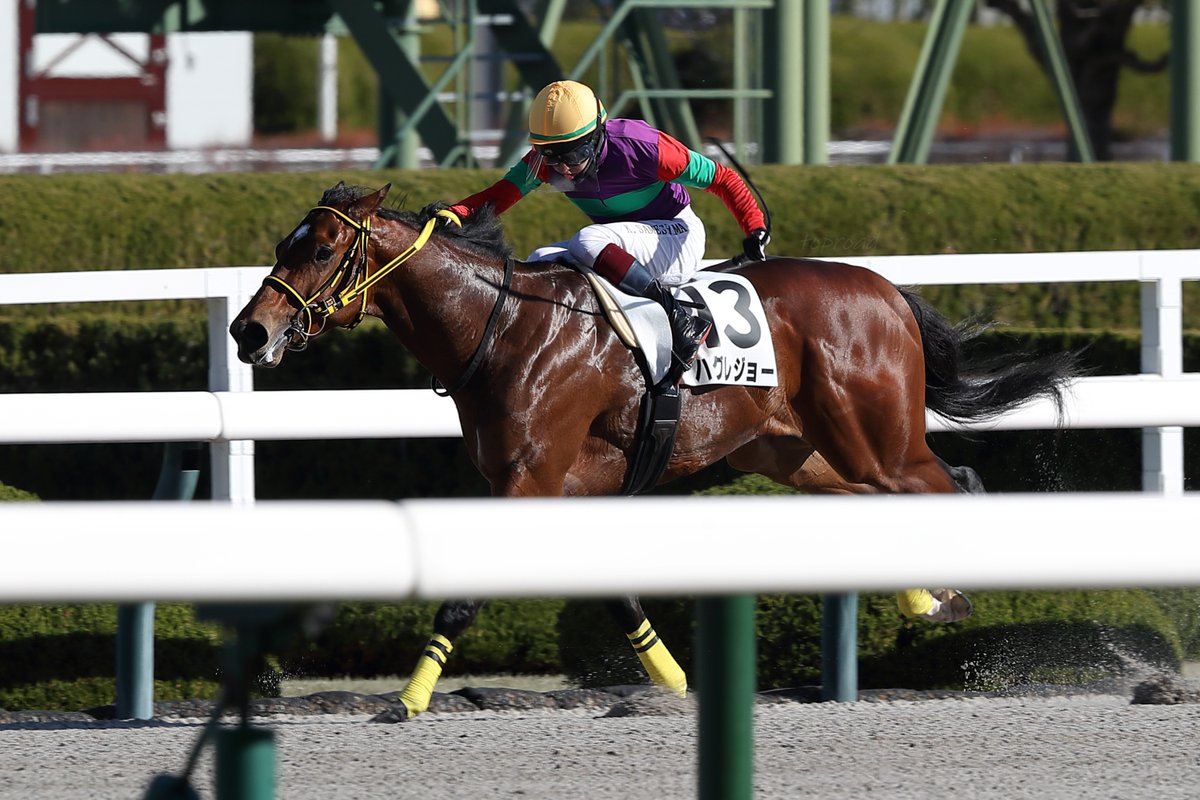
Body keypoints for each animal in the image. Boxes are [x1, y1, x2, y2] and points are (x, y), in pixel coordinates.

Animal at [229, 182, 1078, 720]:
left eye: (324, 248)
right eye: (284, 243)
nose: (248, 329)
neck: (503, 325)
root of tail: (886, 290)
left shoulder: (528, 480)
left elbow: (465, 595)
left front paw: (407, 698)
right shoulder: (570, 487)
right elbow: (616, 593)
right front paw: (671, 680)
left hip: (878, 440)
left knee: (950, 480)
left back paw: (959, 595)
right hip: (795, 452)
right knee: (899, 496)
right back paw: (925, 596)